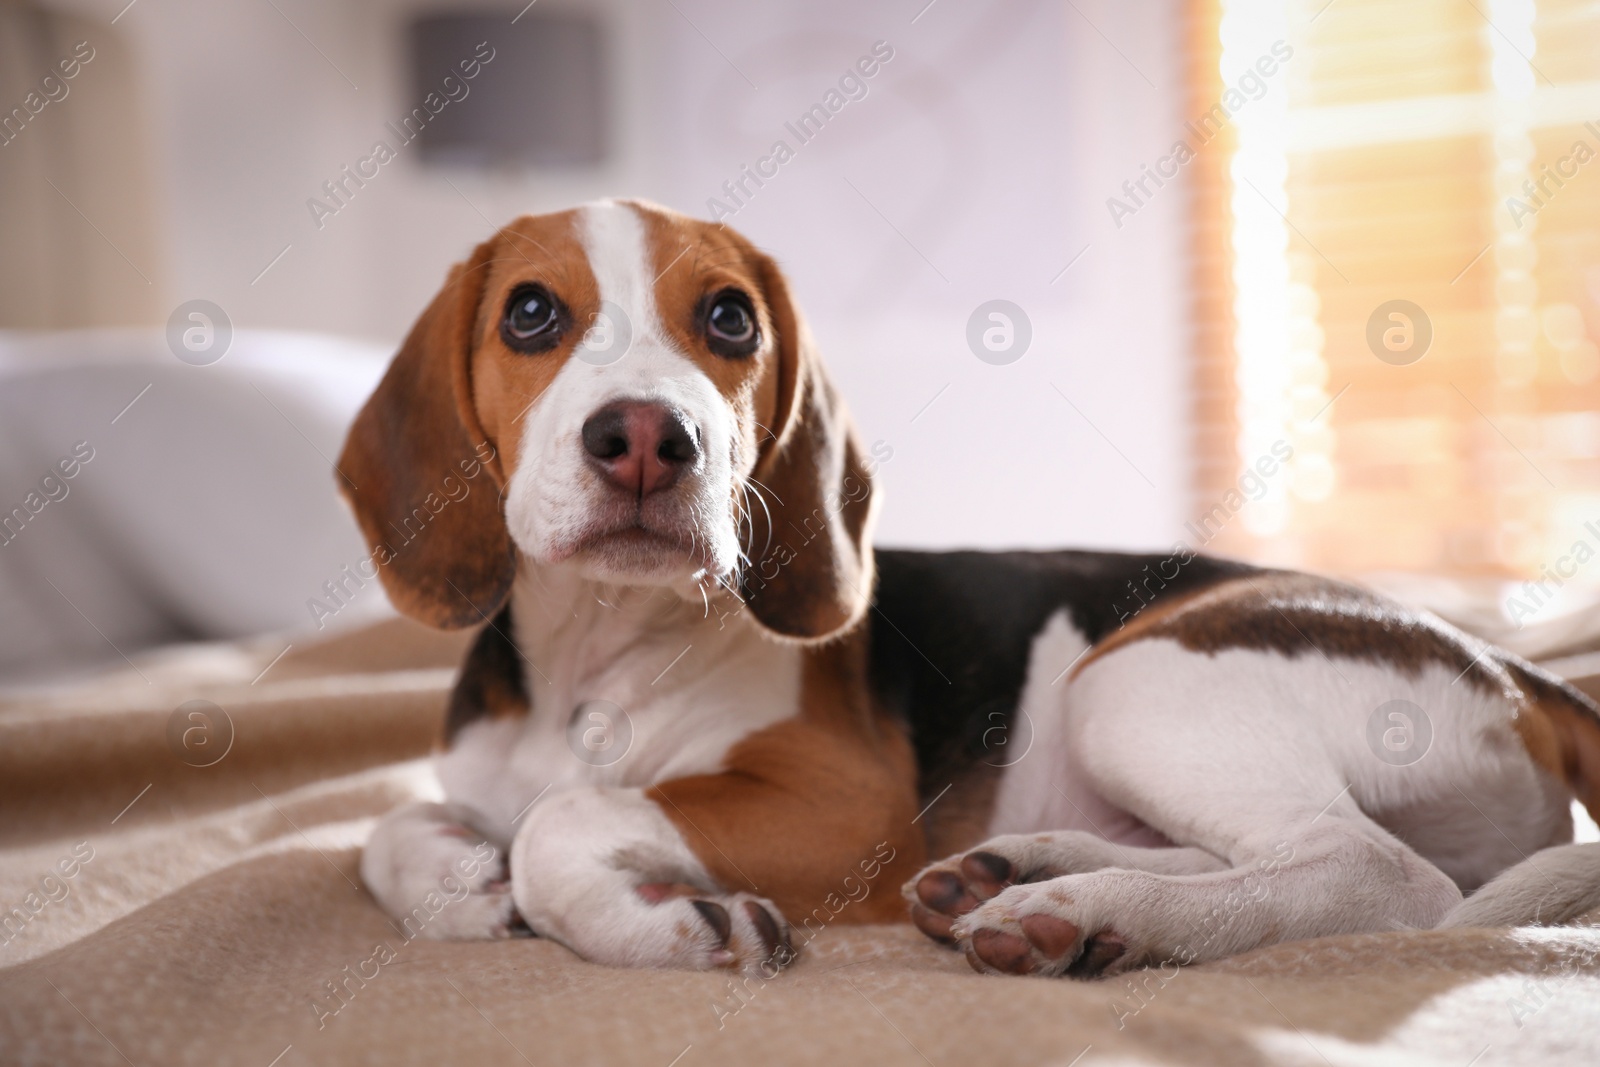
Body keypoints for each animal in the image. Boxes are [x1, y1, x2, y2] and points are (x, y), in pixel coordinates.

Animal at [344, 199, 1600, 985]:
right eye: (530, 313)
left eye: (729, 318)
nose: (652, 437)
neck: (596, 654)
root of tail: (1509, 665)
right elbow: (387, 827)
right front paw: (459, 877)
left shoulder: (841, 809)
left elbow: (565, 819)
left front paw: (666, 922)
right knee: (1262, 855)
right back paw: (1026, 874)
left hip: (1130, 680)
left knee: (1374, 869)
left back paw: (1089, 911)